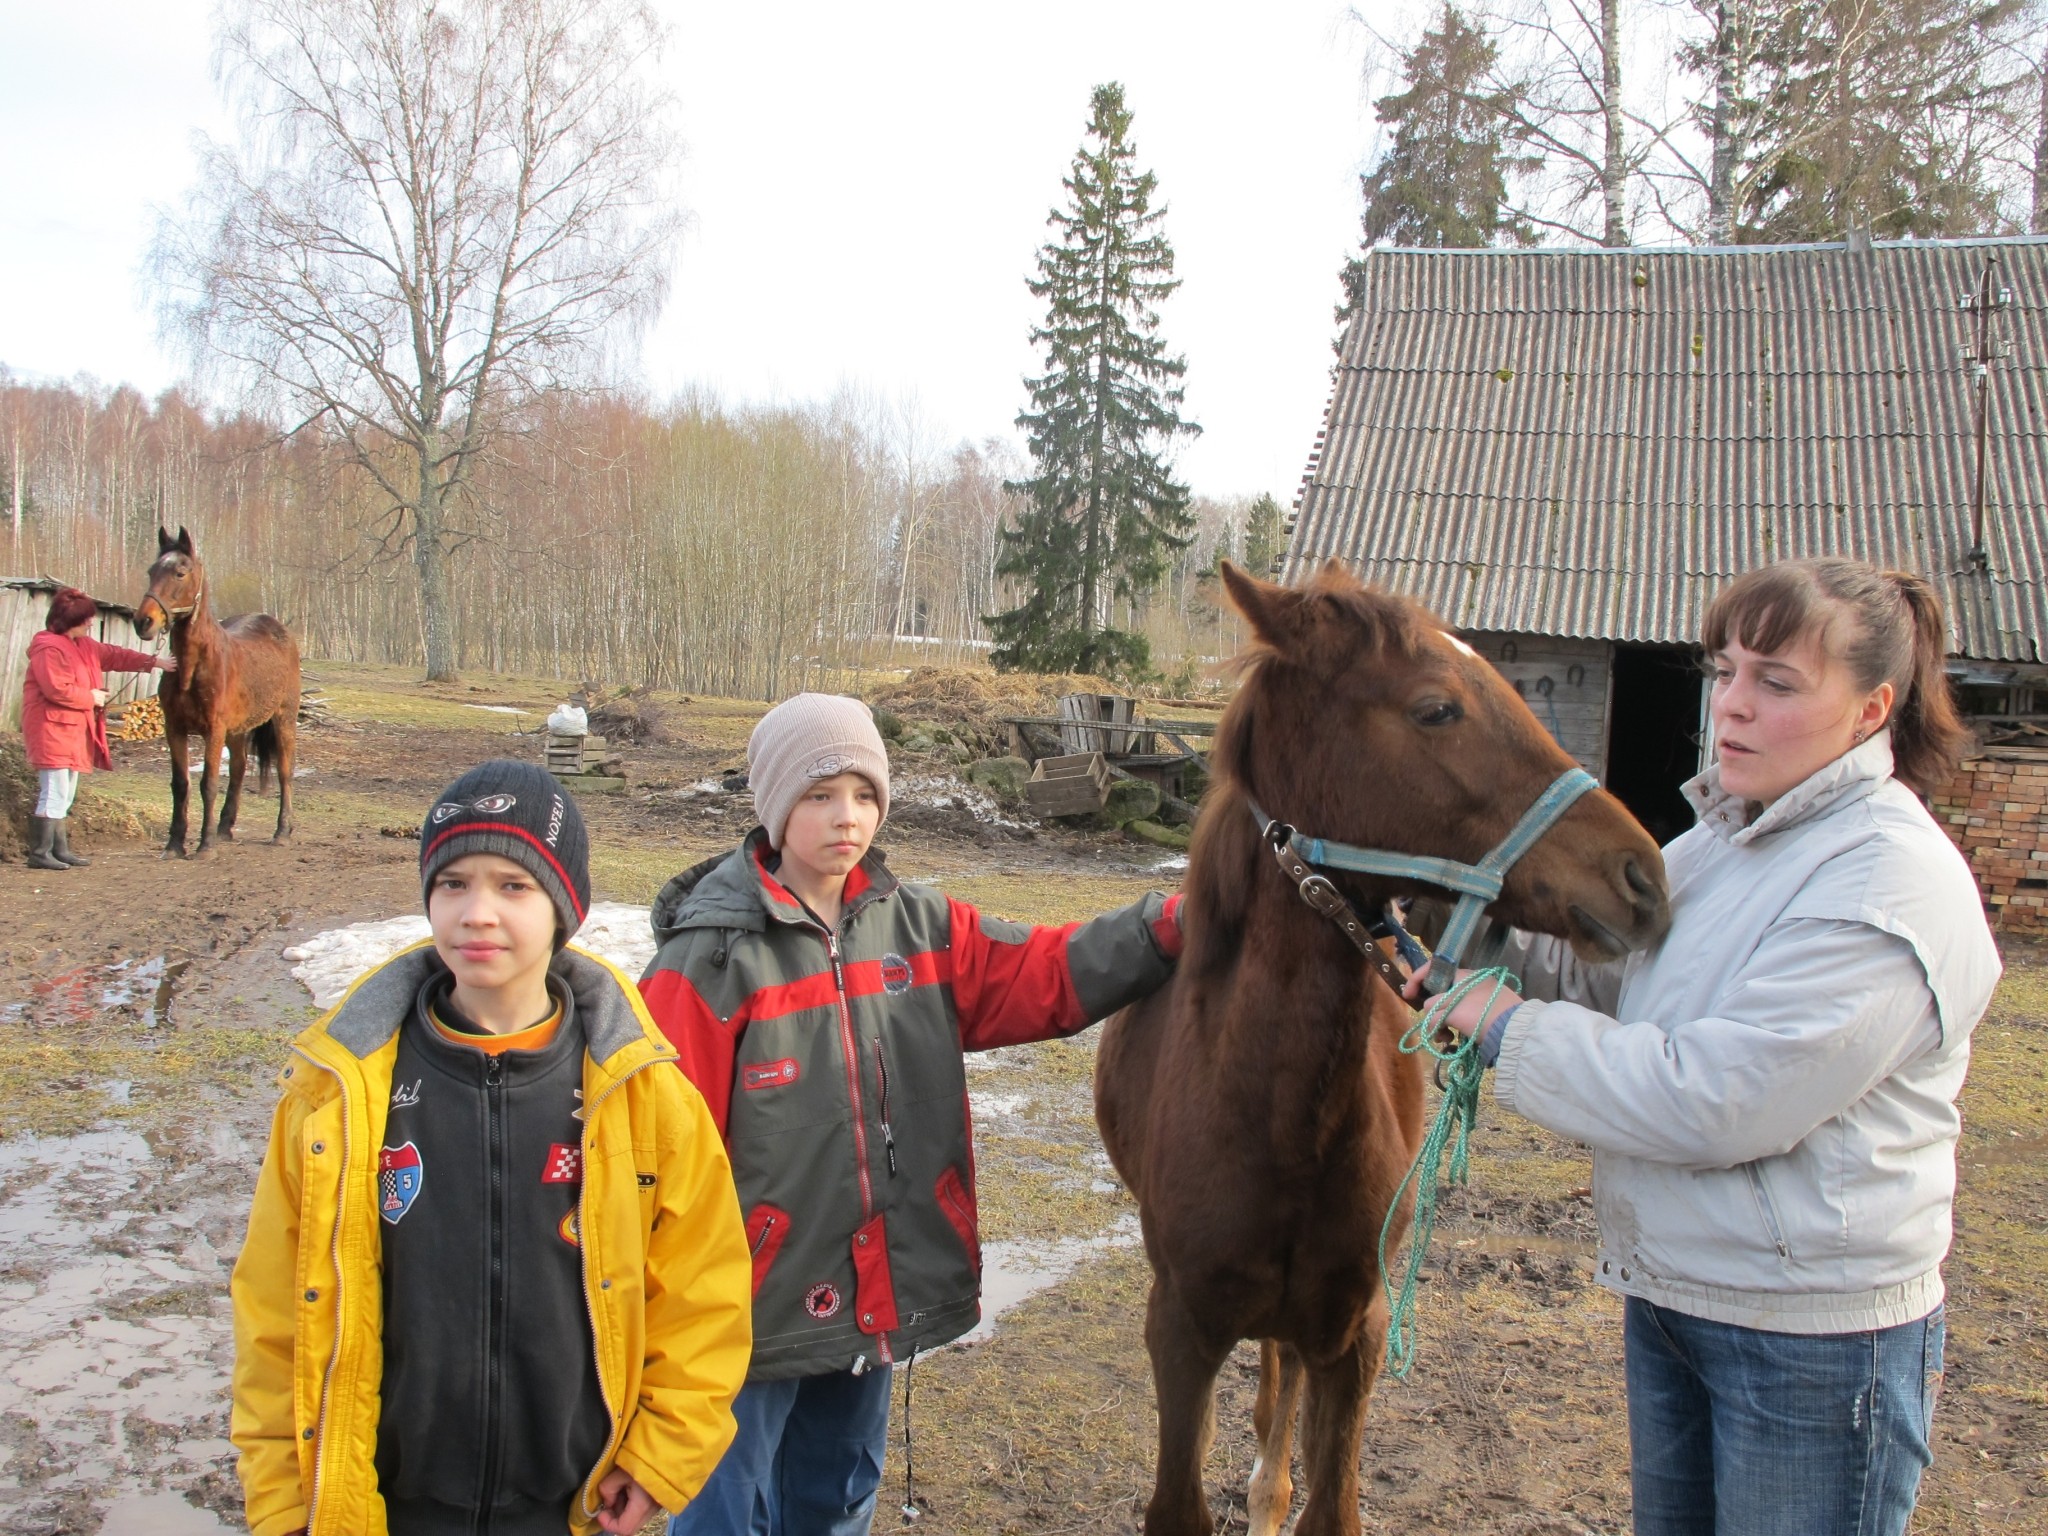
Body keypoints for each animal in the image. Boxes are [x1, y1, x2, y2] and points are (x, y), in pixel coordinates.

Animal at [130, 532, 299, 860]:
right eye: (151, 571)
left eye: (180, 573)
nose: (143, 621)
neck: (192, 667)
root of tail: (280, 629)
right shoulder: (175, 729)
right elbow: (180, 784)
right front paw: (174, 844)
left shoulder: (214, 731)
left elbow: (208, 783)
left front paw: (205, 845)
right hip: (238, 730)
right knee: (238, 769)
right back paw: (225, 827)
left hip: (283, 720)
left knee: (284, 772)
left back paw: (281, 832)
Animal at [1097, 565, 1671, 1536]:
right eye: (1436, 708)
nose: (1644, 878)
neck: (1273, 1119)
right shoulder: (1180, 1327)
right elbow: (1180, 1497)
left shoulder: (1354, 1329)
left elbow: (1330, 1503)